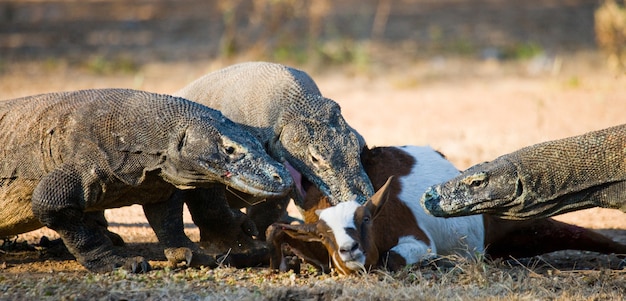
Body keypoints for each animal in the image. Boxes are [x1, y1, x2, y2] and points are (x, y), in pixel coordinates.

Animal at [266, 145, 624, 274]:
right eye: (323, 235)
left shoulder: (416, 239)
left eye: (366, 219)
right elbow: (275, 231)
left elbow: (392, 257)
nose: (349, 249)